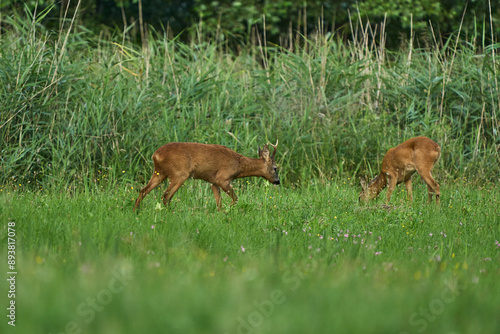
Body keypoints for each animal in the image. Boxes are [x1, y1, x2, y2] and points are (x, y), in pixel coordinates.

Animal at [134, 141, 282, 211]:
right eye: (275, 168)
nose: (277, 181)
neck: (239, 165)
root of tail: (155, 155)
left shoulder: (213, 182)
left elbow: (219, 203)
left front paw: (221, 214)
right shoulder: (222, 178)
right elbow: (235, 199)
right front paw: (229, 210)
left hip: (159, 173)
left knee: (143, 190)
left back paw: (136, 211)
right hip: (179, 174)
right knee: (166, 196)